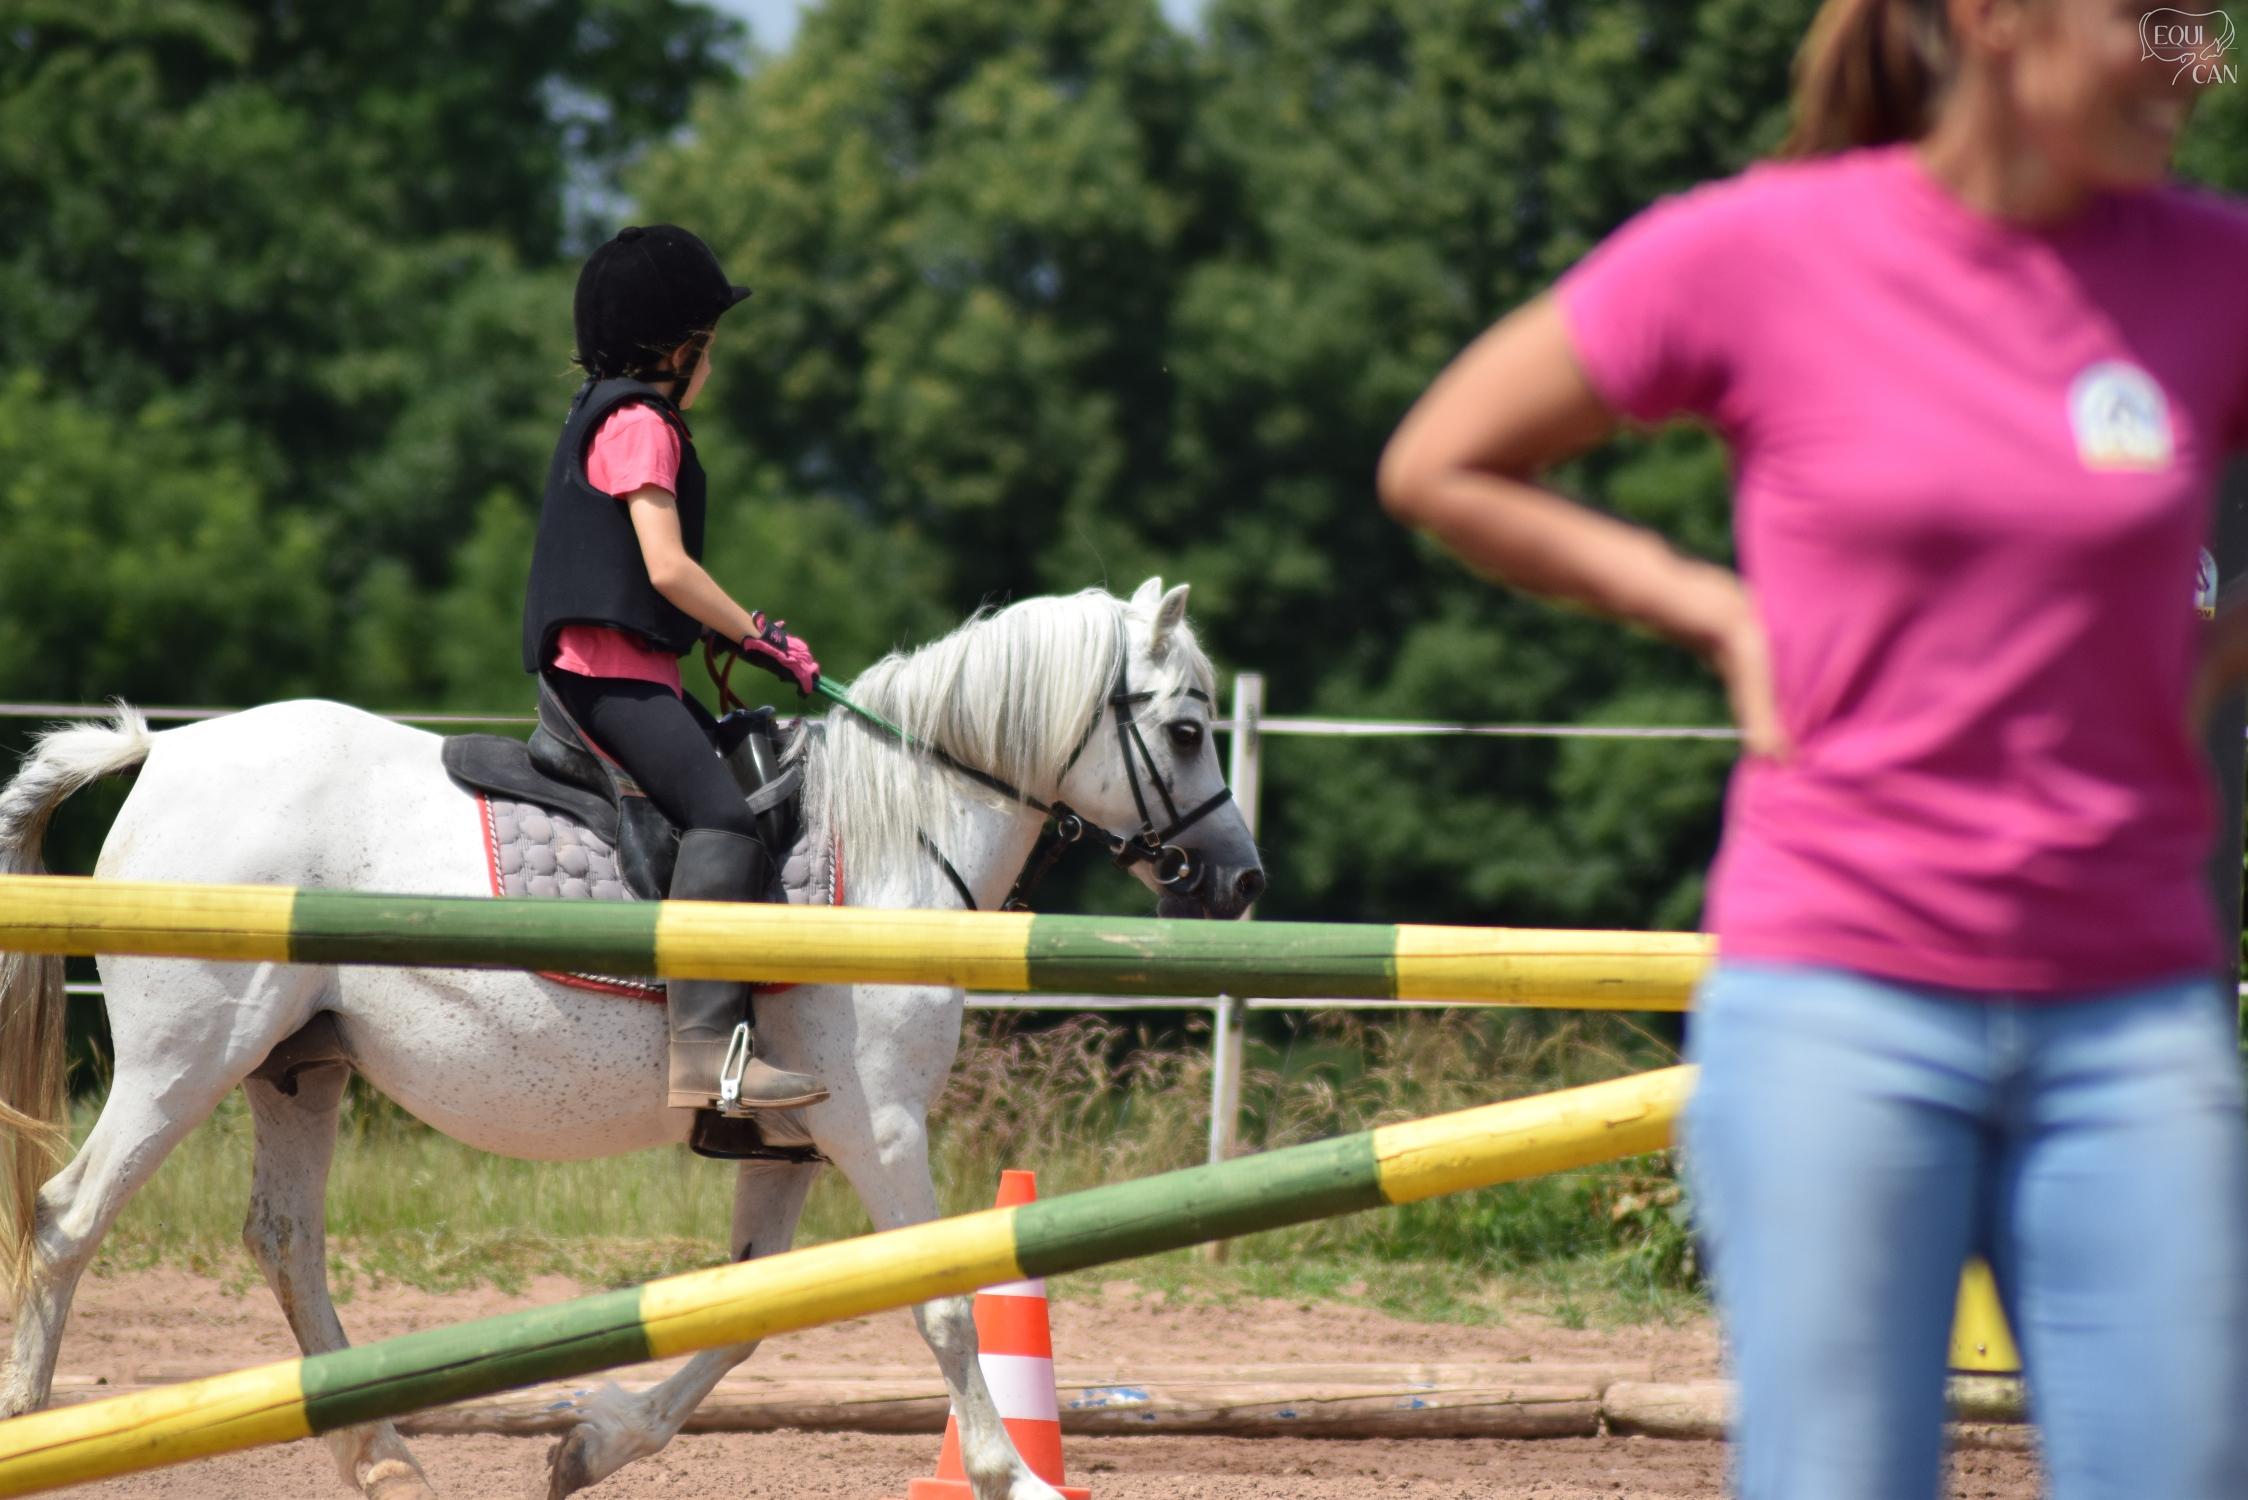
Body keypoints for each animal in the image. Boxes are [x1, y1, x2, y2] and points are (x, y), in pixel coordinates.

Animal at [0, 578, 1265, 1500]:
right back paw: (32, 1419)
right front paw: (1015, 1477)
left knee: (284, 1243)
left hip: (296, 1068)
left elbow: (748, 1311)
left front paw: (592, 1444)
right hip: (185, 1059)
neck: (892, 844)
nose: (1242, 882)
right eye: (1186, 730)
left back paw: (387, 1459)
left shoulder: (792, 1141)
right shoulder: (880, 1127)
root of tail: (163, 753)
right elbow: (943, 1300)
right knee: (68, 1218)